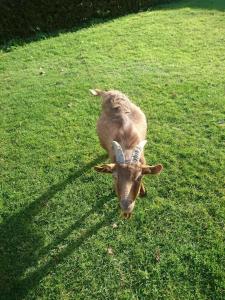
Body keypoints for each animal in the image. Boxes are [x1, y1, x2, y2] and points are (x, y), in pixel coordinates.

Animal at [90, 89, 163, 218]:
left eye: (139, 177)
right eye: (114, 176)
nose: (126, 207)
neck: (128, 149)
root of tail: (110, 92)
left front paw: (143, 191)